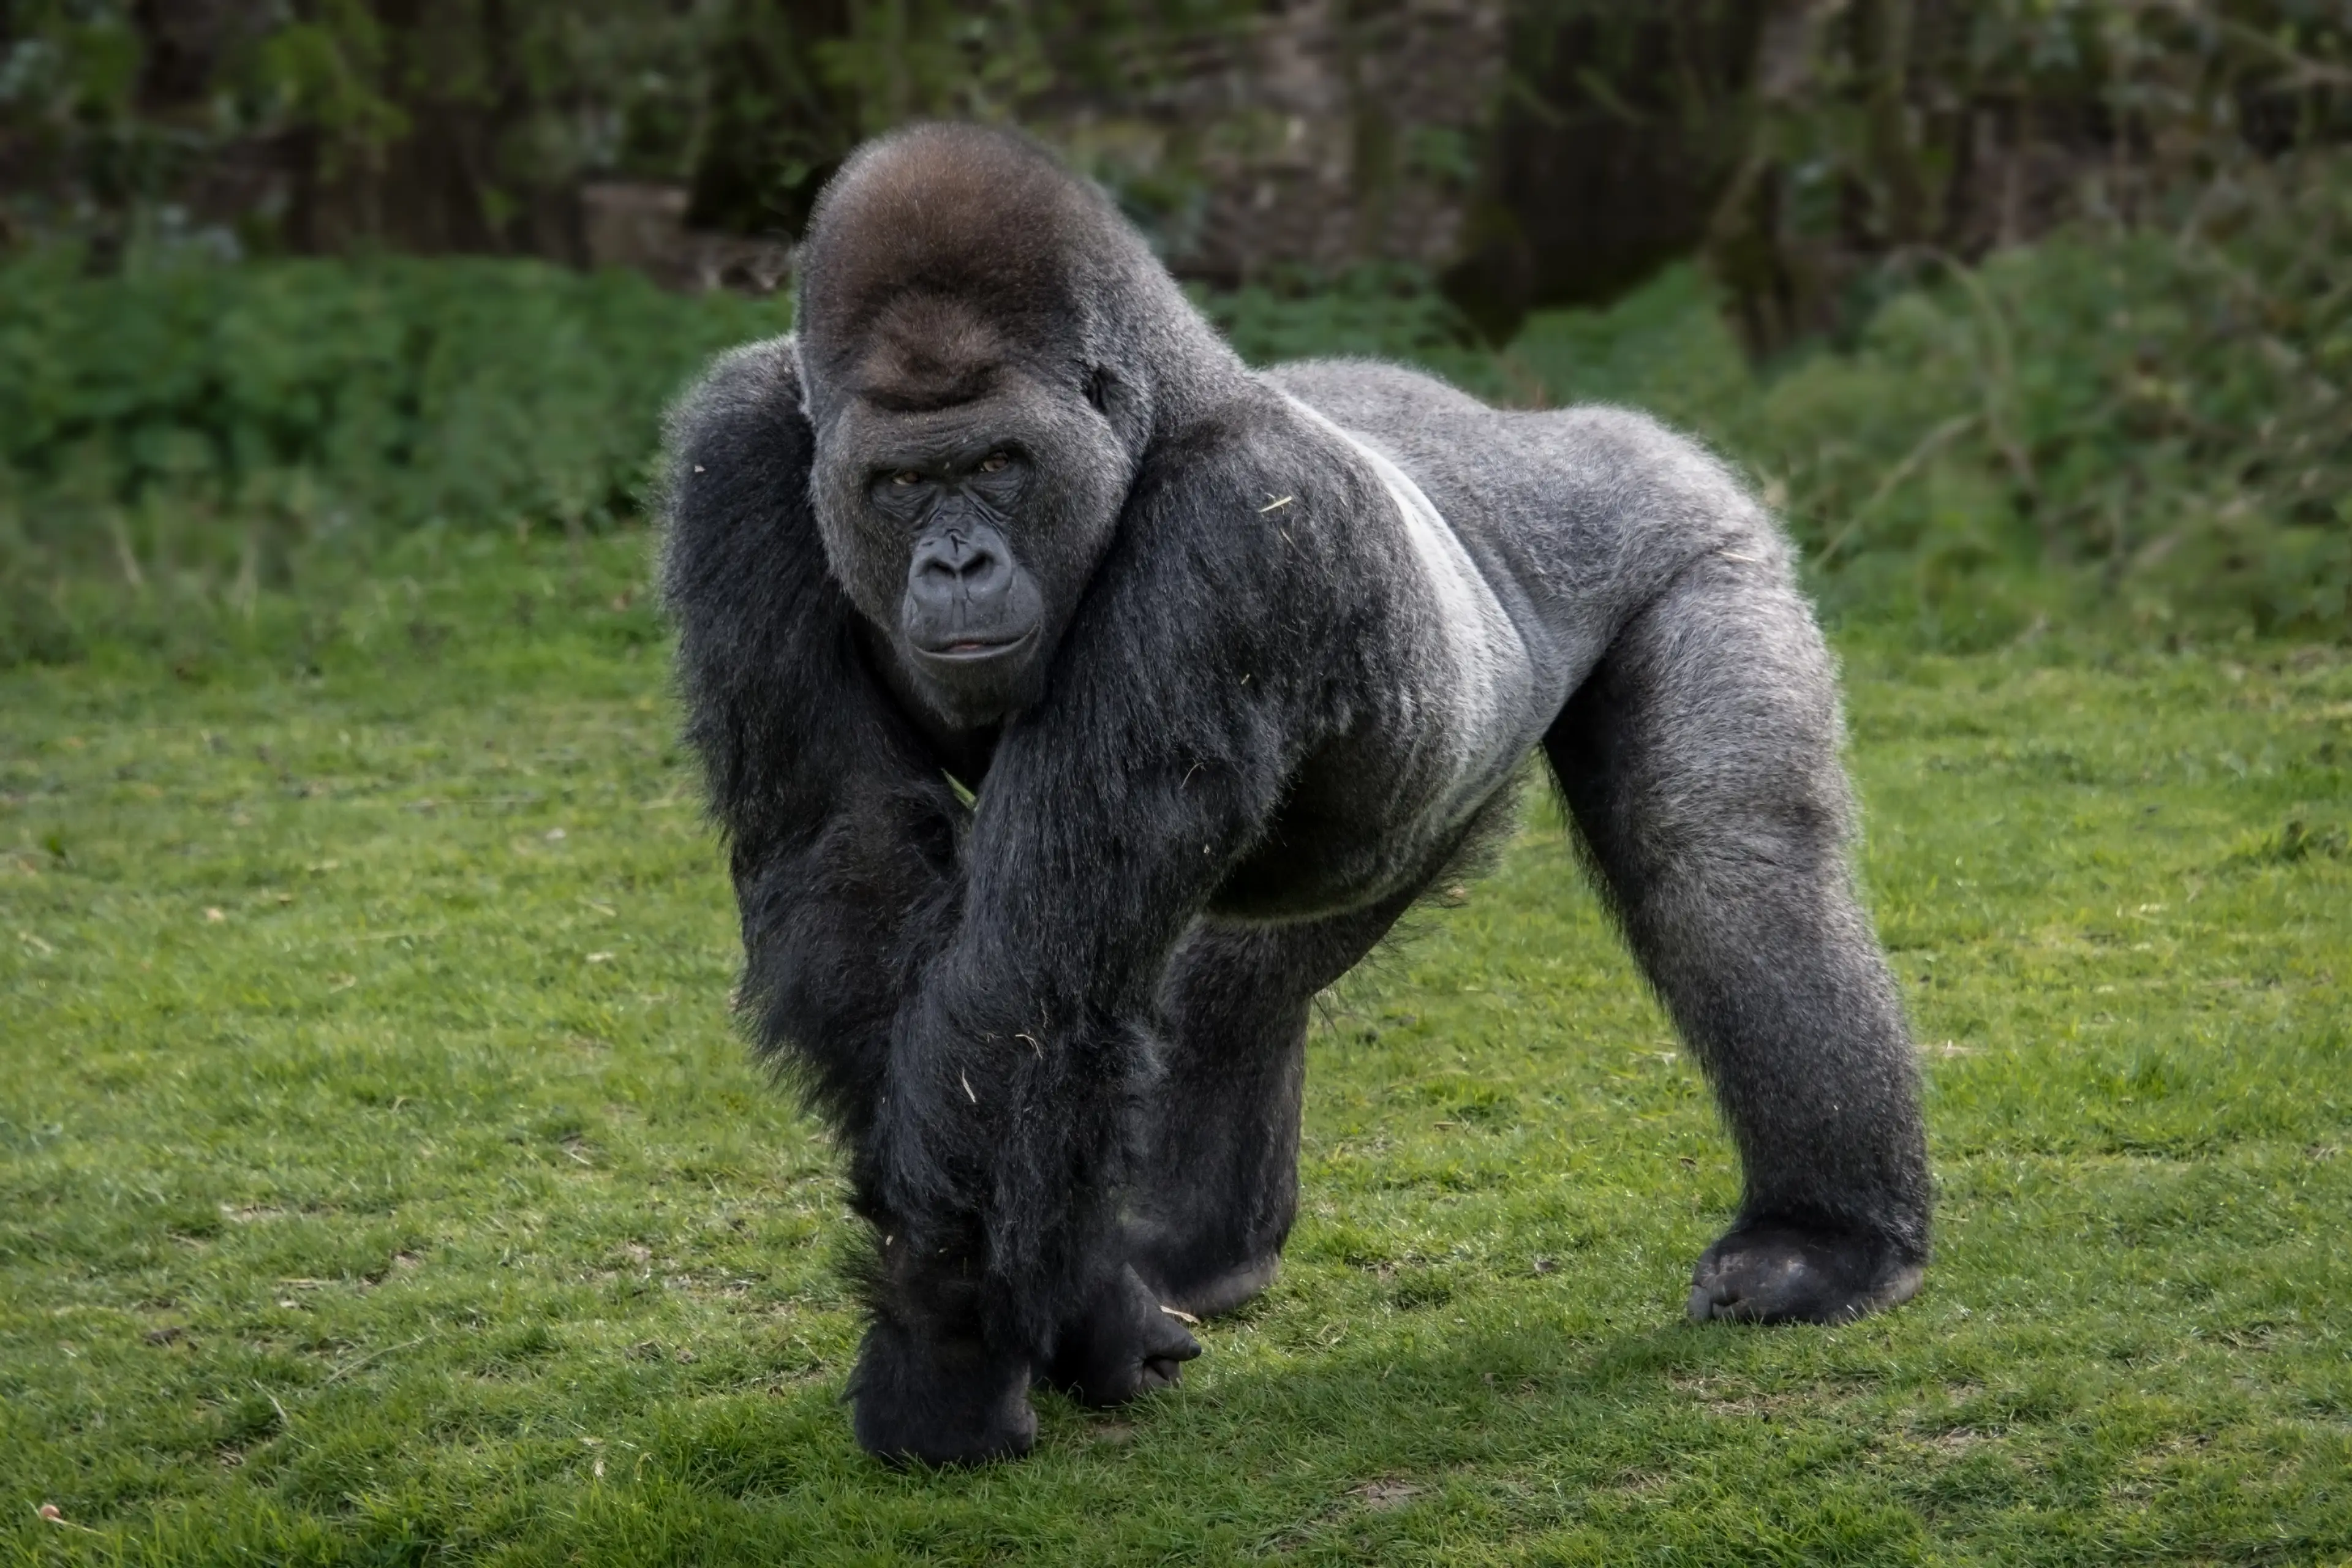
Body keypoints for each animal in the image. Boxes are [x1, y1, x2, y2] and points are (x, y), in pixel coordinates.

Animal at [660, 123, 1929, 1466]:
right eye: (902, 485)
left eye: (998, 463)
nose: (957, 563)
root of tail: (1570, 424)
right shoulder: (735, 455)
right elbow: (851, 859)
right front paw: (1078, 1308)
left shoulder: (1234, 534)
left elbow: (1025, 987)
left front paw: (944, 1366)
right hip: (1436, 779)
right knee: (1241, 963)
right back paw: (1194, 1240)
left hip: (1699, 528)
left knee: (1725, 858)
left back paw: (1828, 1234)